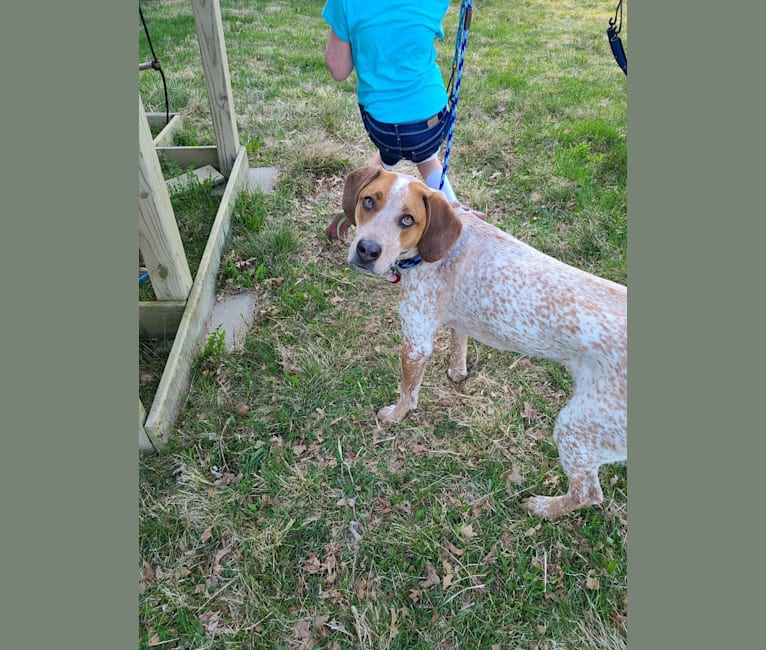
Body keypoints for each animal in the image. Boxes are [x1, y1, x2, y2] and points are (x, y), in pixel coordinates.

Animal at [344, 166, 632, 516]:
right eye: (368, 201)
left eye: (408, 219)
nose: (366, 250)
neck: (438, 251)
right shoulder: (456, 319)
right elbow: (459, 341)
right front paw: (457, 372)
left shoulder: (415, 341)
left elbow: (407, 391)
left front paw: (395, 416)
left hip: (577, 427)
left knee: (588, 493)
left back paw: (543, 508)